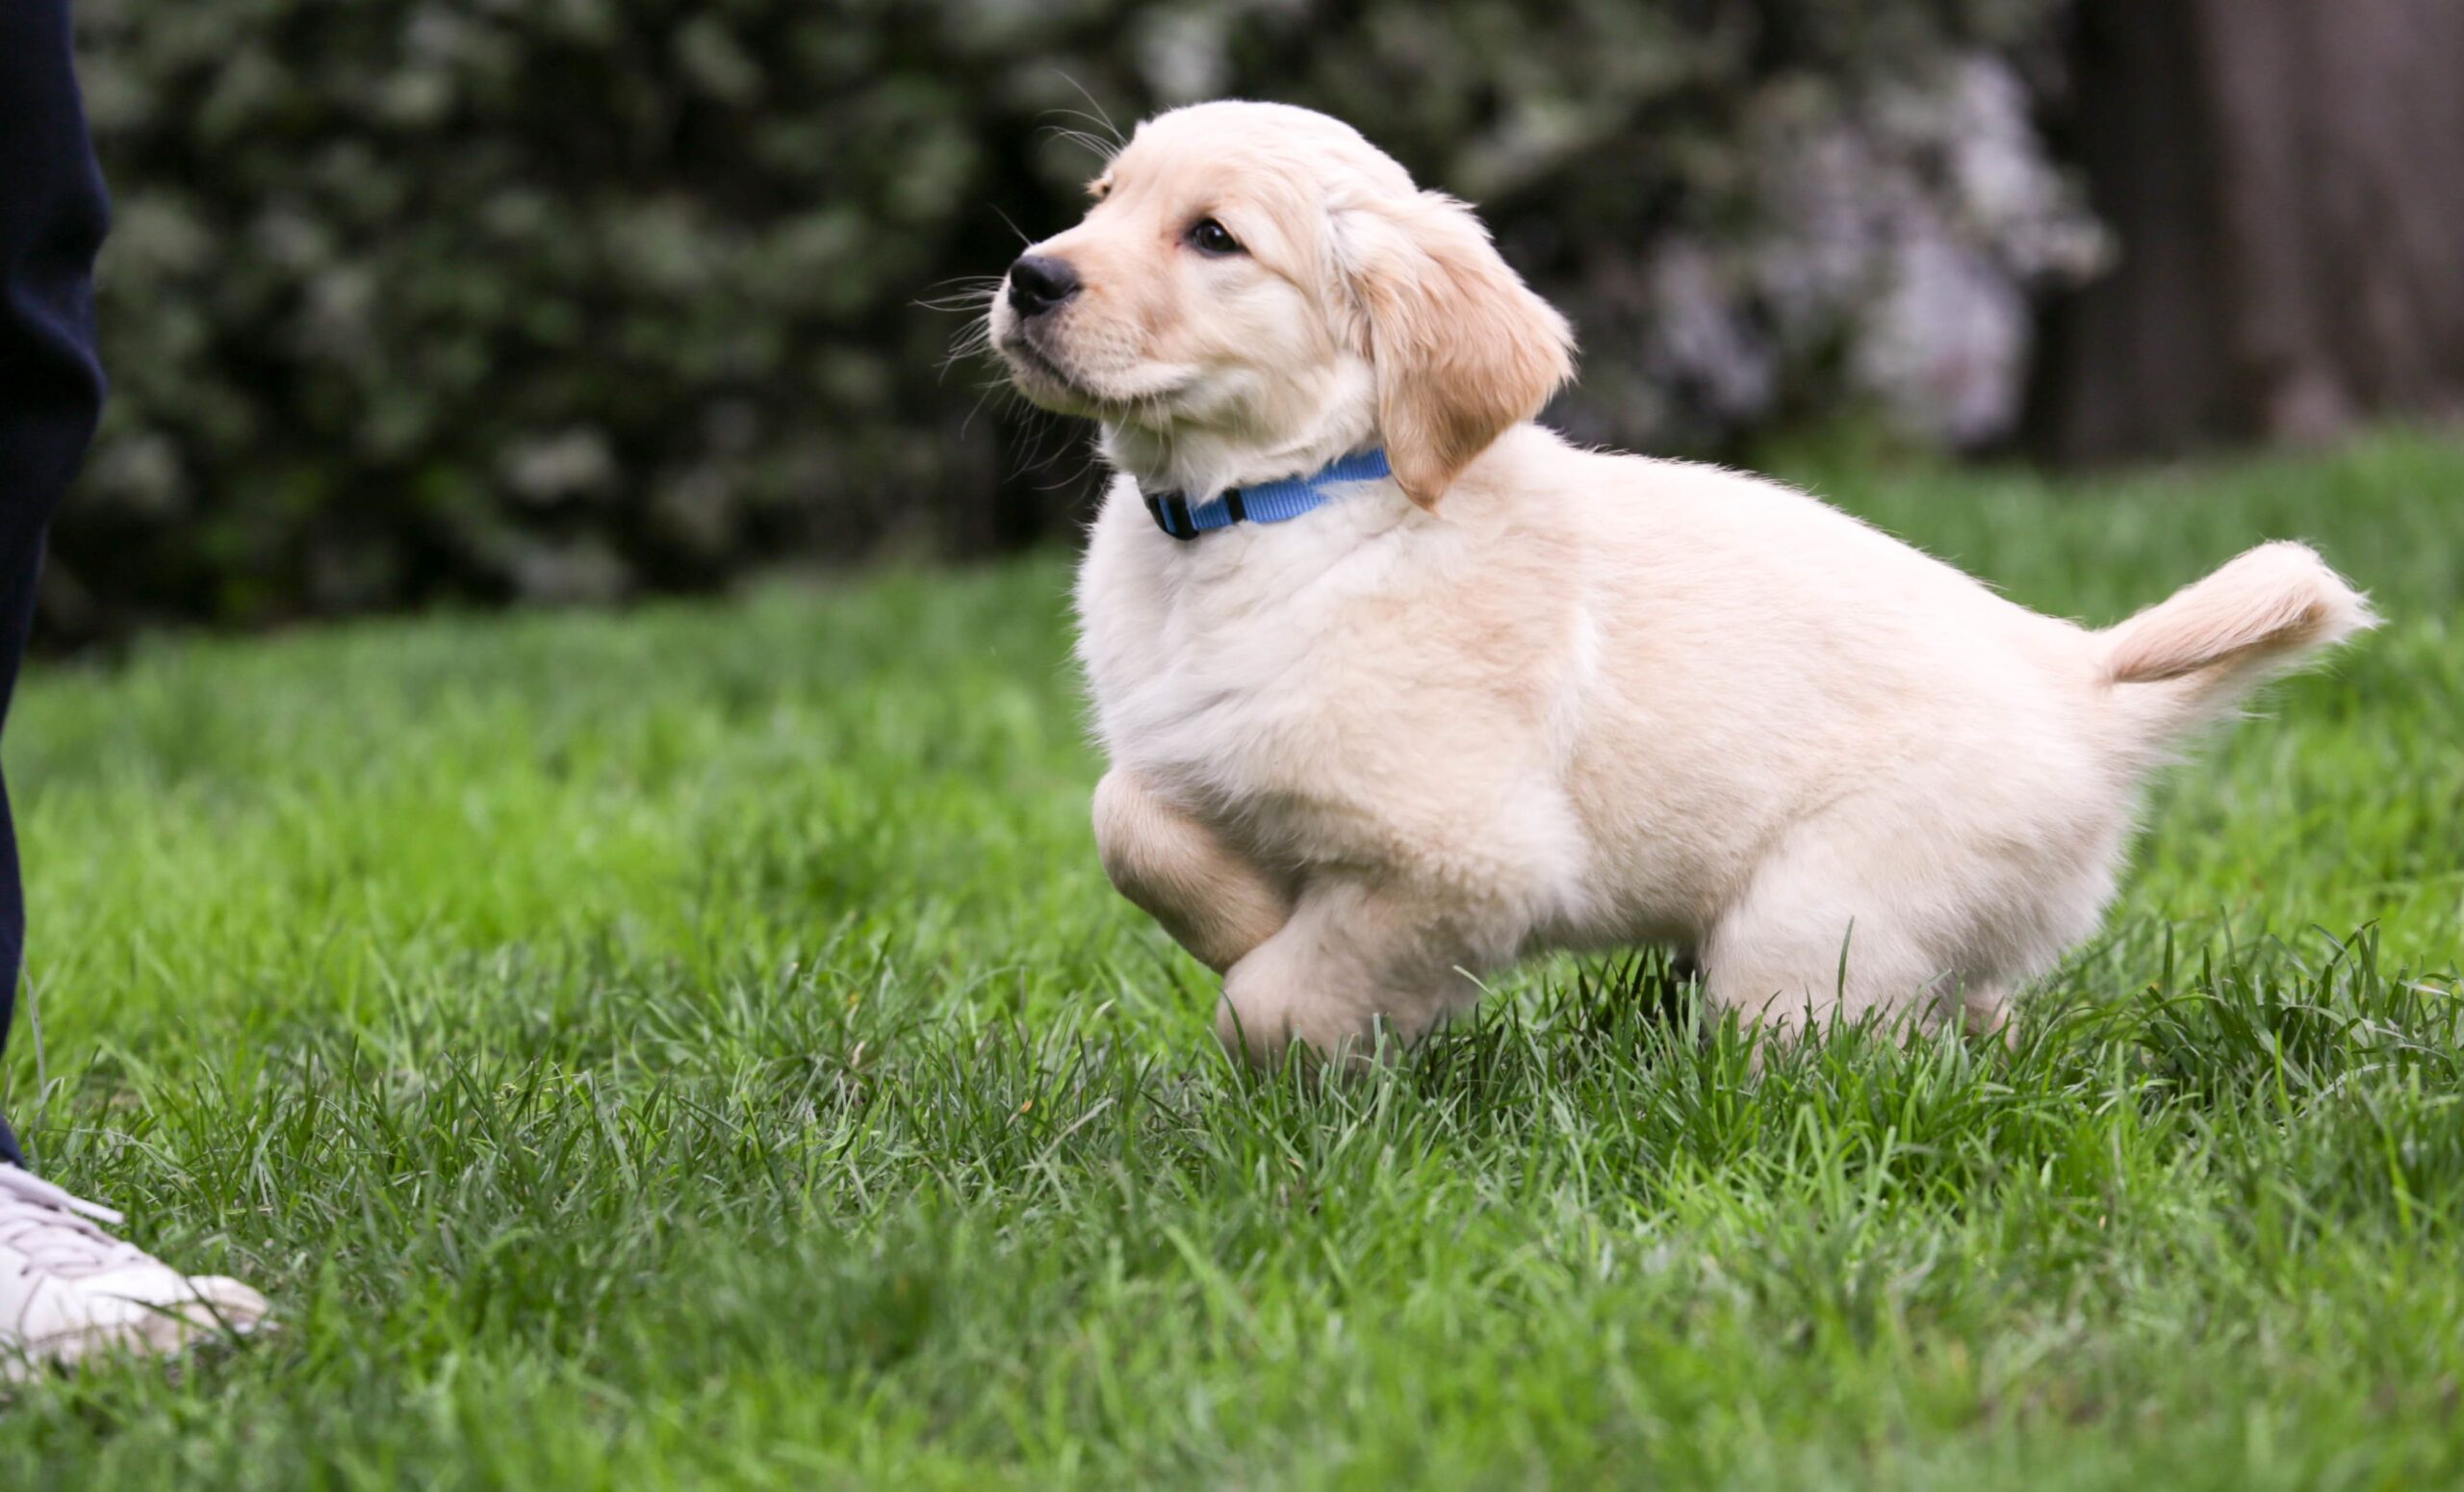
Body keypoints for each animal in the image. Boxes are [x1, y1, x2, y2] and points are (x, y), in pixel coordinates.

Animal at [990, 98, 2374, 1065]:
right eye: (1100, 198)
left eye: (1213, 237)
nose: (1030, 275)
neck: (1269, 512)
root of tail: (2080, 678)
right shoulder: (1193, 751)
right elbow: (1127, 818)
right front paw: (1240, 917)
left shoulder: (1467, 855)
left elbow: (1282, 997)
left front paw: (1272, 1010)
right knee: (1980, 1014)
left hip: (1810, 923)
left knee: (1850, 1054)